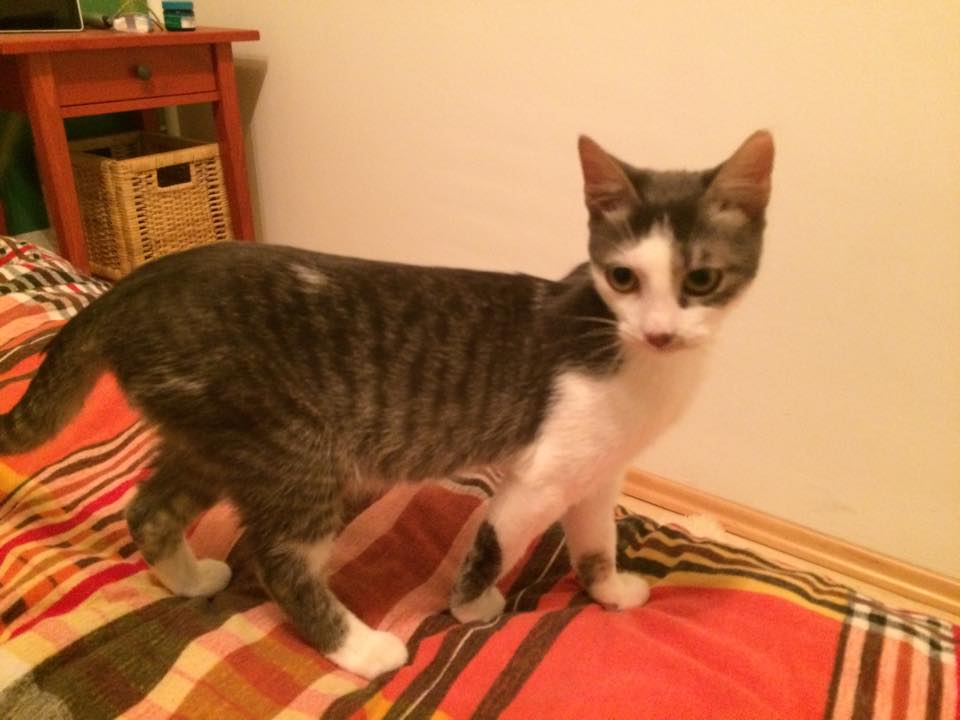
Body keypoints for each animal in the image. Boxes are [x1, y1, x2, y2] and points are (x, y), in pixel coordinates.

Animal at [0, 130, 773, 679]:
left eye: (701, 280)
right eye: (623, 277)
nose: (662, 331)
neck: (629, 353)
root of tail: (129, 287)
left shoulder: (597, 472)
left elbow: (595, 542)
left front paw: (609, 592)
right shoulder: (542, 475)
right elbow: (496, 543)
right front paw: (472, 605)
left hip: (211, 440)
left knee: (150, 510)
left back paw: (191, 578)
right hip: (293, 451)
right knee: (280, 559)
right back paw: (361, 649)